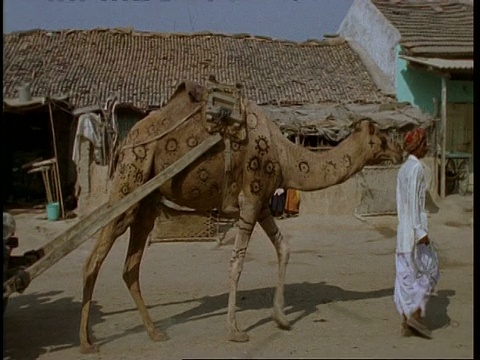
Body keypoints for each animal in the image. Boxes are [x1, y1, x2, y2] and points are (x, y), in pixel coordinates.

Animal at [79, 80, 402, 352]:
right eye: (381, 138)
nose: (400, 151)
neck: (286, 157)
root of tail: (125, 141)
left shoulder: (262, 204)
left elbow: (284, 248)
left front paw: (282, 318)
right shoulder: (251, 199)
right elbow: (237, 263)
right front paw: (234, 330)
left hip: (146, 200)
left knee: (130, 265)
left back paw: (154, 332)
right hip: (131, 177)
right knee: (95, 256)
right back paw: (86, 342)